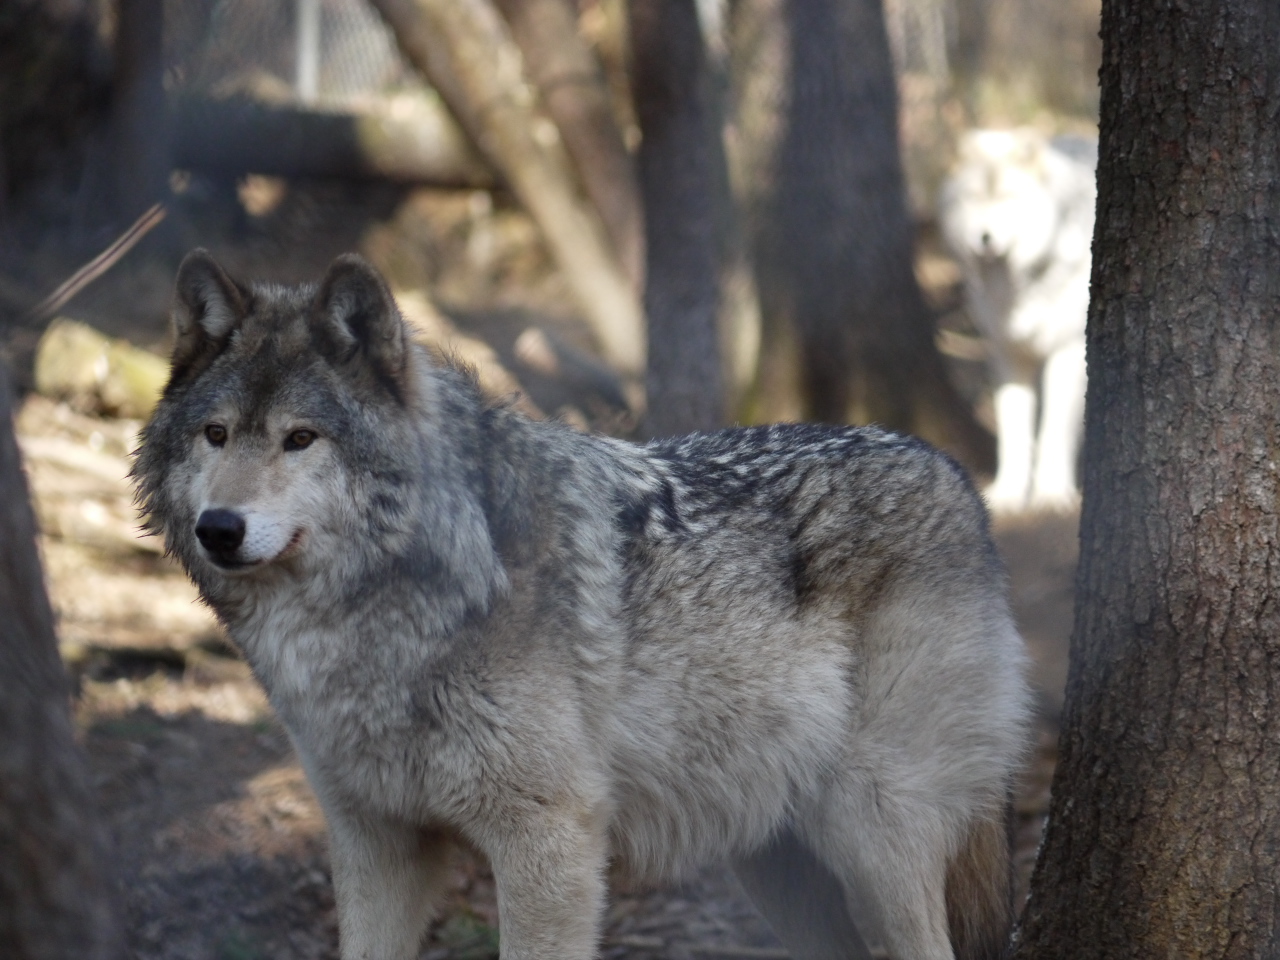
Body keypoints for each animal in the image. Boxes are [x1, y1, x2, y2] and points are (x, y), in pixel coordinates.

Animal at [133, 250, 1032, 959]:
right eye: (216, 435)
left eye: (300, 439)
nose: (219, 529)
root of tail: (955, 476)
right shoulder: (375, 844)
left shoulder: (549, 840)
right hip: (781, 868)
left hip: (873, 835)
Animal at [940, 128, 1096, 512]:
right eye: (974, 198)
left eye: (1007, 198)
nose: (984, 238)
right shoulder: (1005, 352)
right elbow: (1013, 428)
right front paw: (1009, 493)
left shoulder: (1067, 351)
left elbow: (1054, 428)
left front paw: (1051, 494)